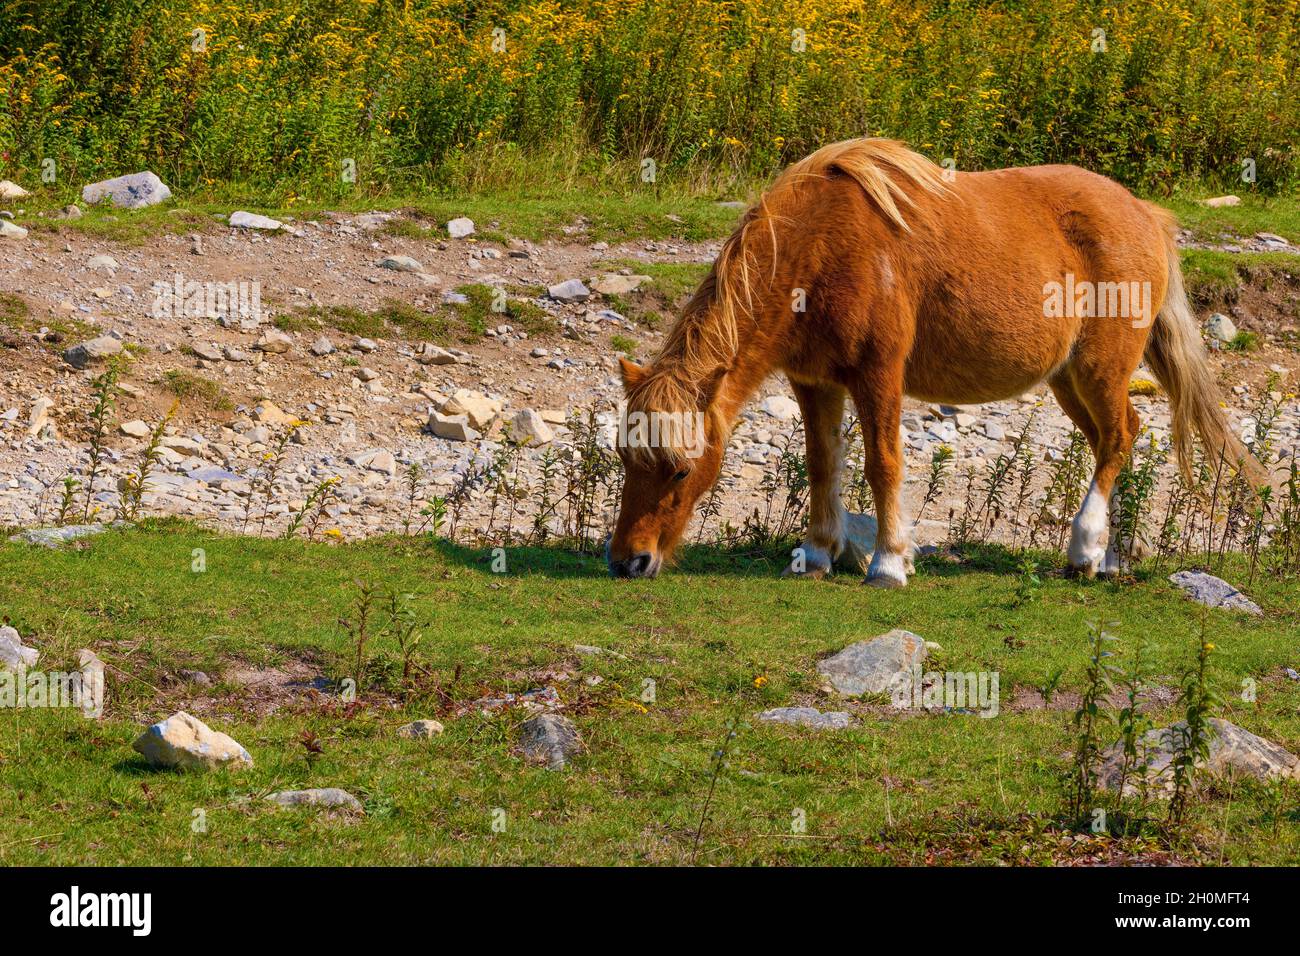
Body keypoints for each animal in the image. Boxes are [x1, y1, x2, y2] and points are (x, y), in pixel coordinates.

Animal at [607, 138, 1258, 583]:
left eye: (681, 470)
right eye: (625, 458)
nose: (628, 560)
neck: (821, 246)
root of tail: (1144, 213)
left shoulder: (878, 375)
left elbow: (883, 464)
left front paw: (890, 561)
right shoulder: (814, 381)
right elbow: (823, 465)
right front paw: (816, 552)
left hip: (1100, 369)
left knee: (1119, 437)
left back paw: (1084, 549)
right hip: (1070, 380)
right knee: (1115, 438)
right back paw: (1111, 555)